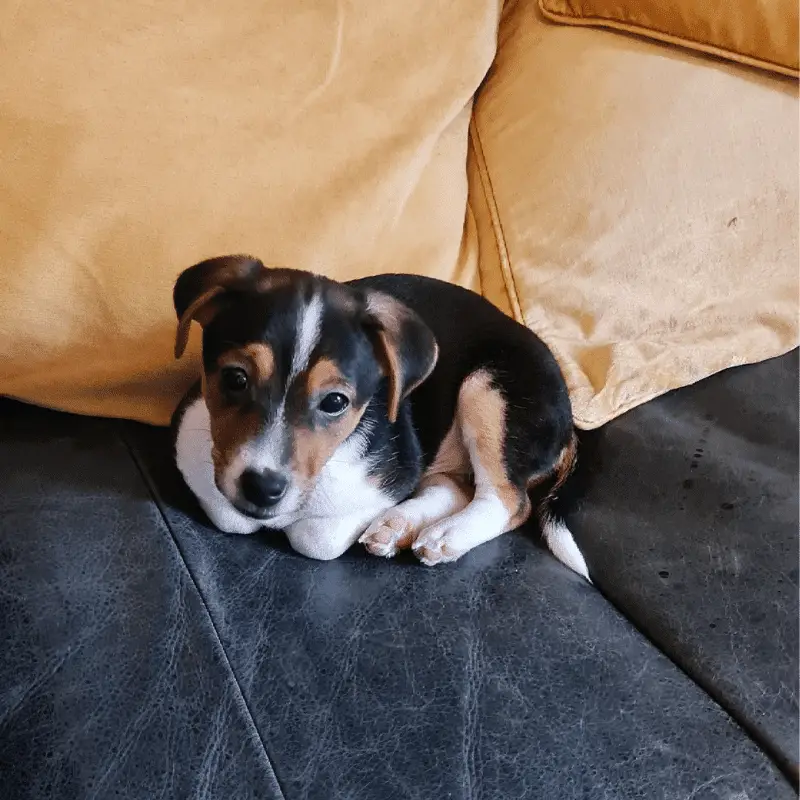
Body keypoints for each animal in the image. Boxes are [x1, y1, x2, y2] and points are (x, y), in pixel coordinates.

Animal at [172, 255, 592, 576]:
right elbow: (228, 513)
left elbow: (318, 537)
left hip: (489, 390)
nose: (262, 488)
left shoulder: (394, 474)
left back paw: (444, 535)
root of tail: (571, 419)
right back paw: (398, 525)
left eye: (335, 402)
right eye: (235, 378)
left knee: (509, 501)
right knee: (456, 487)